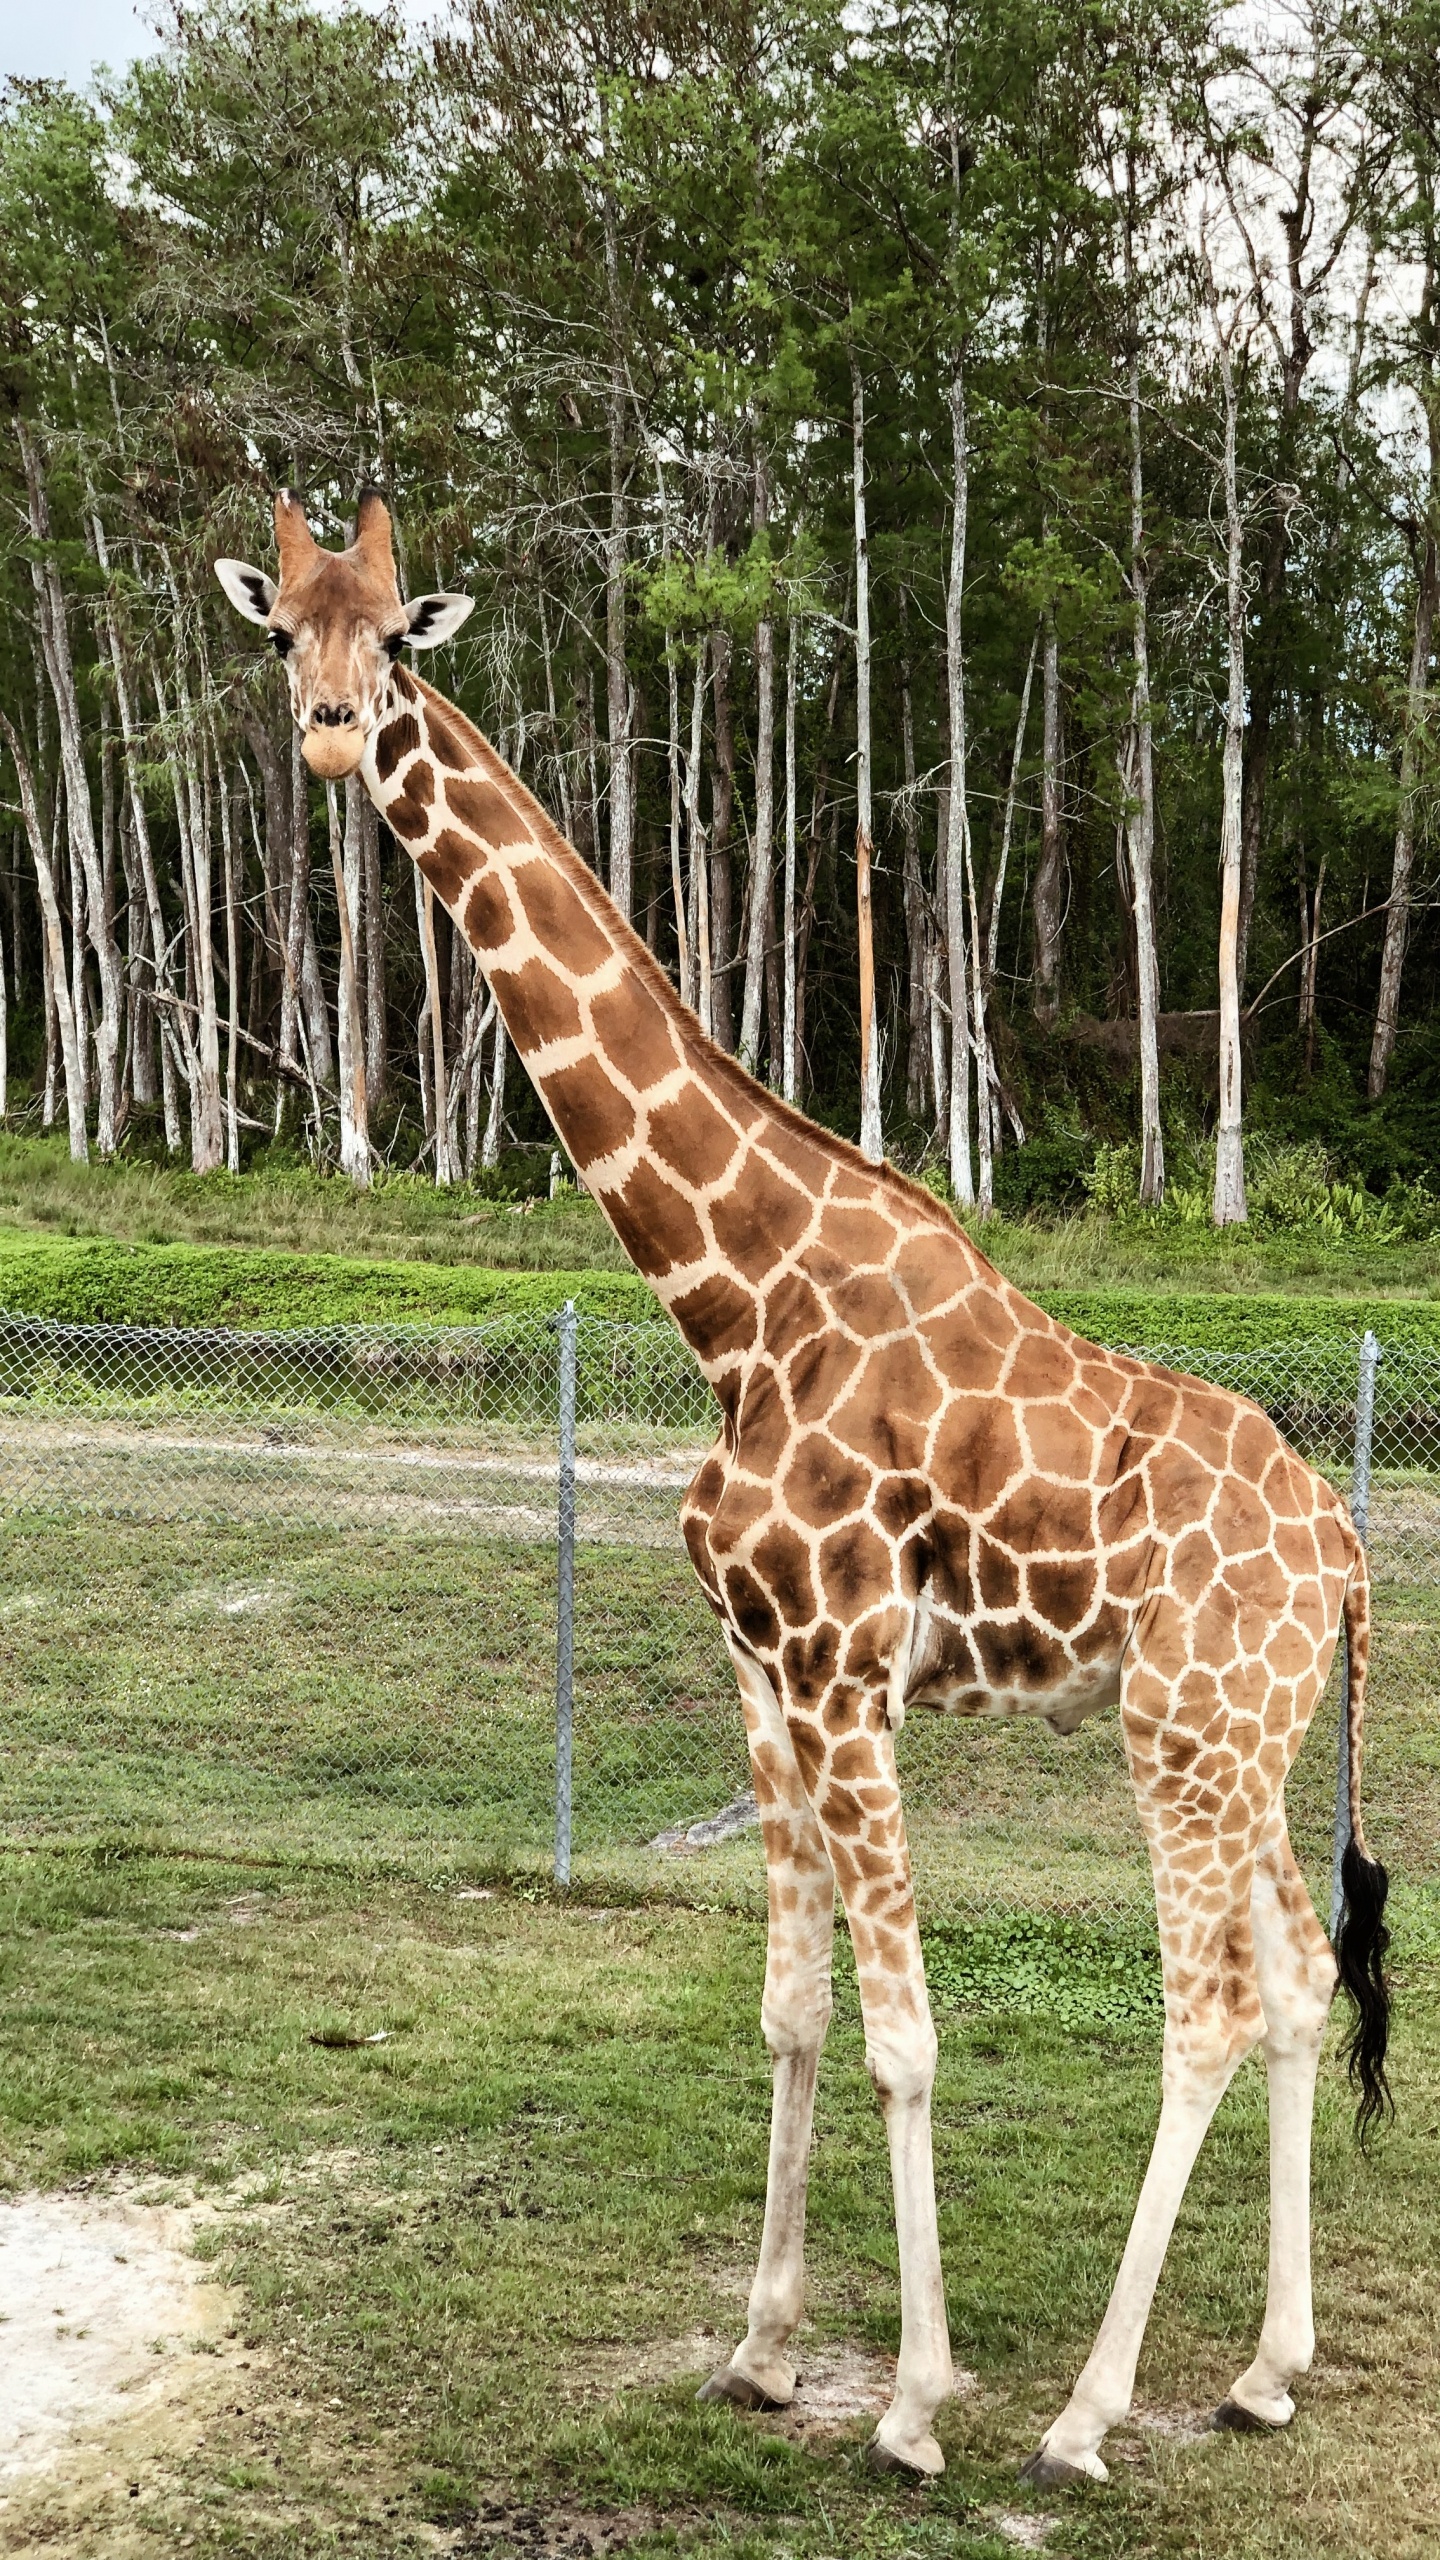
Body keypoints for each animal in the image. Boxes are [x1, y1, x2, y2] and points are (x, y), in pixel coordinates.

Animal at [217, 490, 1391, 2488]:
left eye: (398, 639)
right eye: (282, 626)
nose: (326, 735)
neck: (732, 1300)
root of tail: (1347, 1553)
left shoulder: (848, 1672)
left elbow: (910, 2032)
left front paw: (913, 2405)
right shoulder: (760, 1678)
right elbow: (788, 2007)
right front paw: (763, 2354)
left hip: (1186, 1730)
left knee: (1211, 2007)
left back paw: (1083, 2416)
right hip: (1250, 1733)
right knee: (1303, 1978)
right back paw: (1261, 2371)